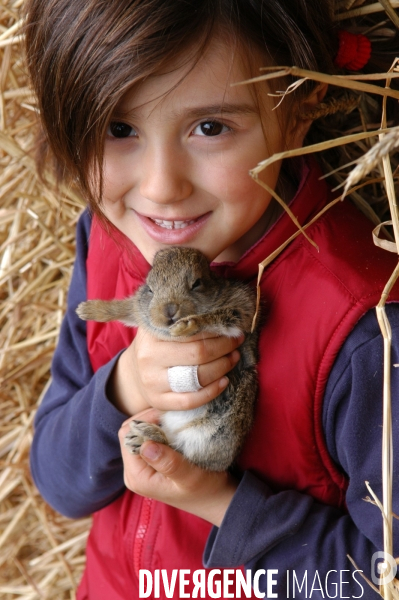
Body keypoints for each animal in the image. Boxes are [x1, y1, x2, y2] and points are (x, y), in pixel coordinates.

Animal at [77, 246, 260, 472]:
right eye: (150, 288)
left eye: (197, 283)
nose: (169, 311)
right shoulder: (142, 310)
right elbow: (125, 309)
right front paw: (86, 310)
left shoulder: (242, 309)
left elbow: (219, 316)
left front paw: (185, 326)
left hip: (216, 433)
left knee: (181, 449)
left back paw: (144, 436)